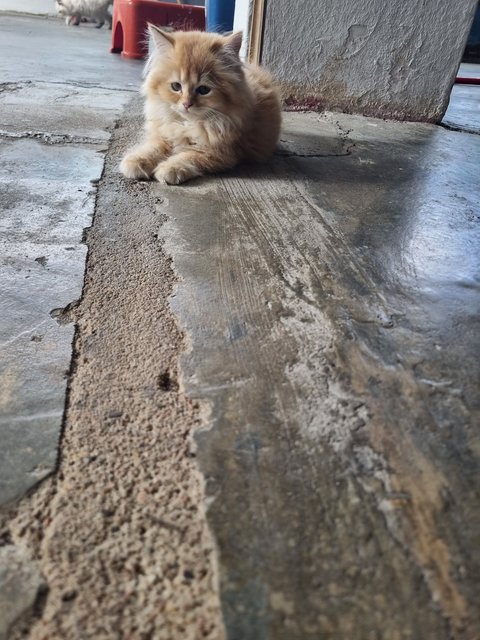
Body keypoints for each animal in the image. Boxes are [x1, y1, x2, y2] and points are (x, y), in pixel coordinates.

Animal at [120, 28, 284, 188]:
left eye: (204, 90)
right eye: (176, 86)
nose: (187, 104)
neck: (187, 125)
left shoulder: (219, 153)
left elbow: (189, 156)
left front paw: (169, 169)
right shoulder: (163, 135)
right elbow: (152, 148)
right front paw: (136, 161)